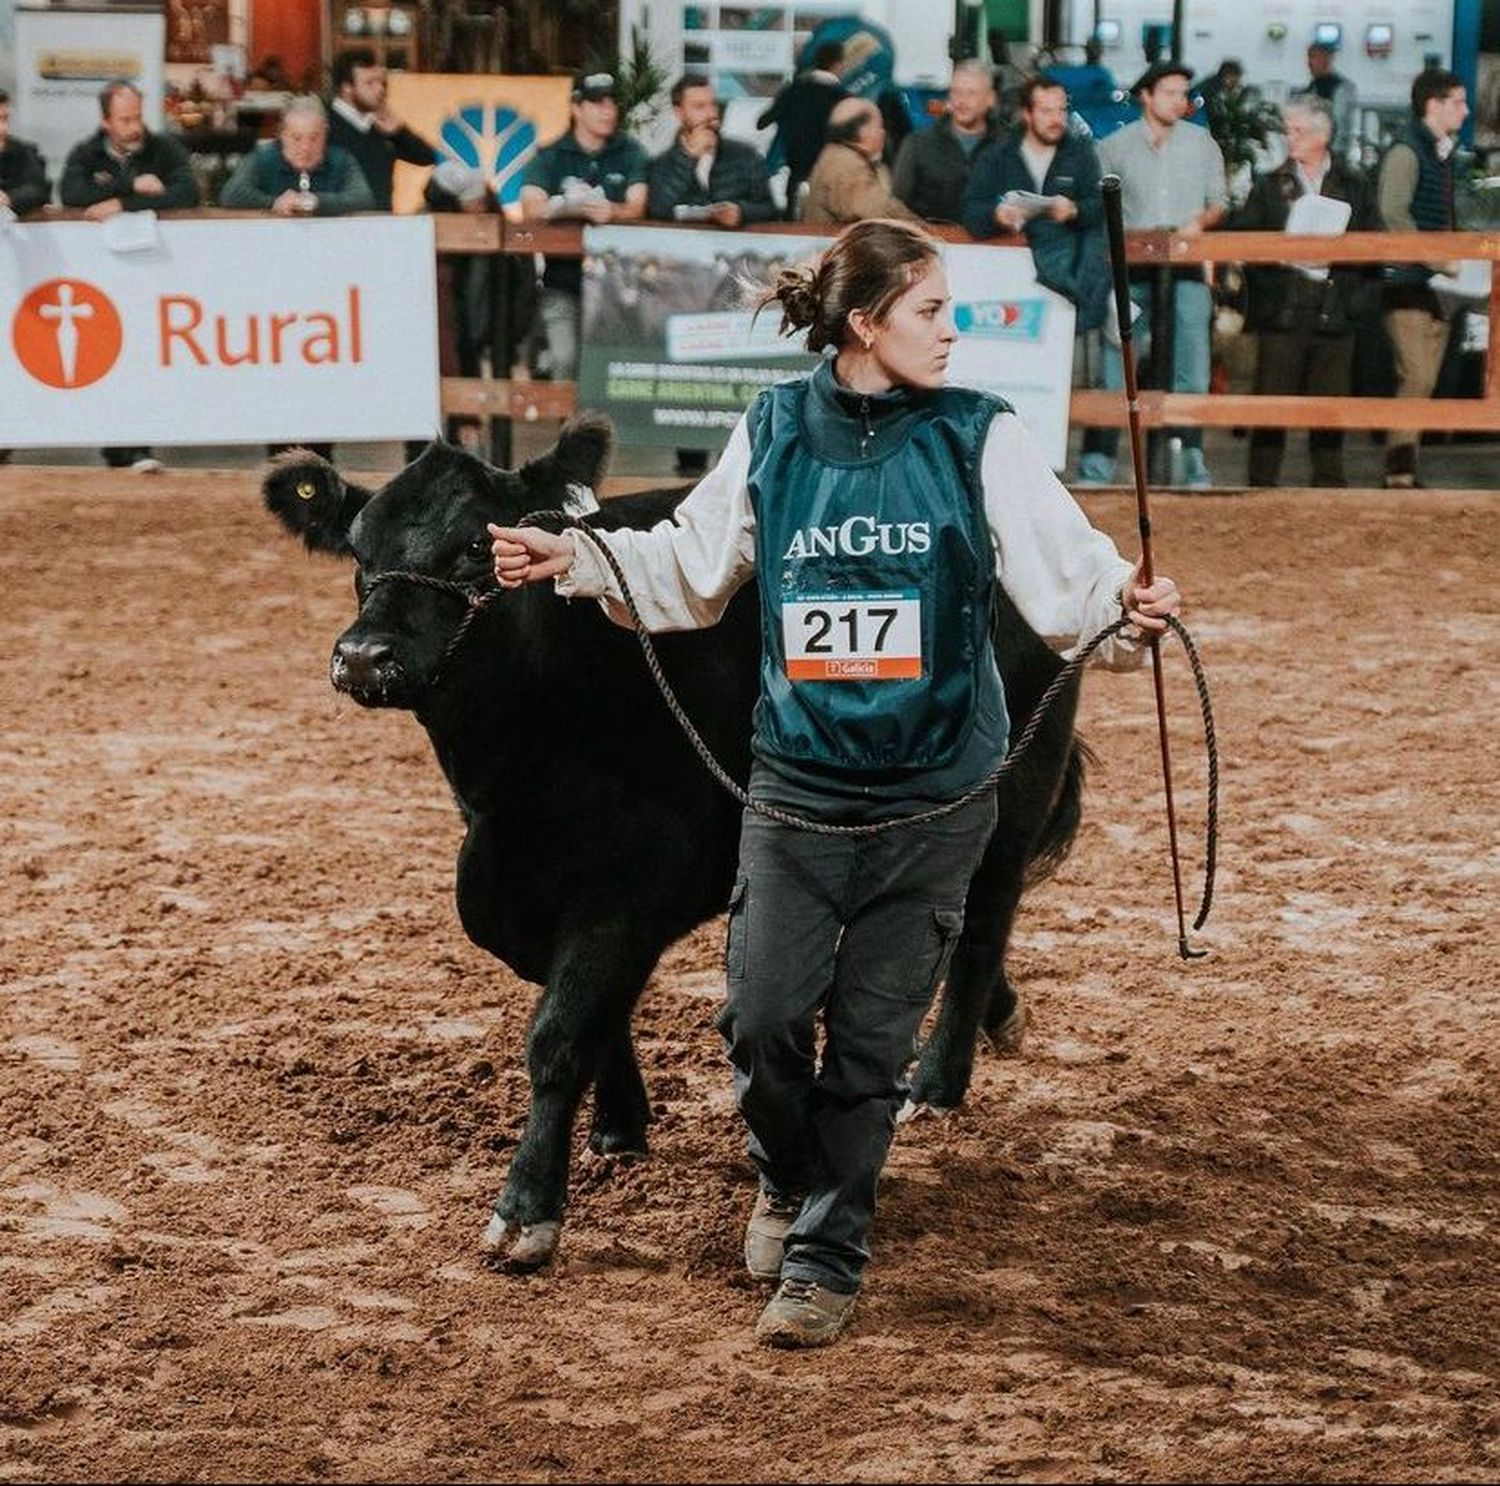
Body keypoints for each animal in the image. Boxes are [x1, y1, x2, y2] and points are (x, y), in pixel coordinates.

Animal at [264, 416, 1086, 1265]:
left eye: (471, 548)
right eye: (359, 553)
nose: (364, 656)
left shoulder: (633, 881)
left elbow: (560, 1034)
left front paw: (527, 1208)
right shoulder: (520, 896)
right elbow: (592, 1006)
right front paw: (620, 1126)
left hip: (1013, 790)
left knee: (983, 923)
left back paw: (937, 1084)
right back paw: (1001, 1015)